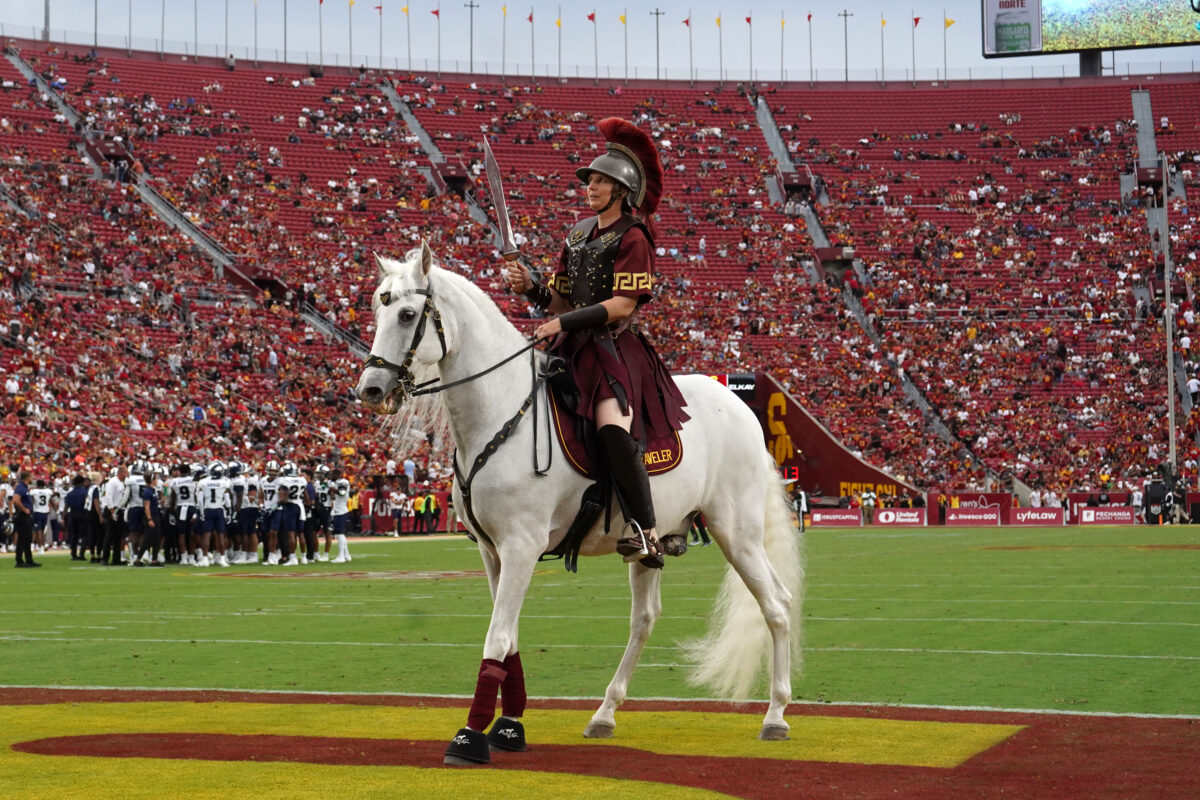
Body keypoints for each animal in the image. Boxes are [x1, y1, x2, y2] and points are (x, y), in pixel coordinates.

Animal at [355, 242, 806, 762]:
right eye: (378, 309)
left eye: (408, 314)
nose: (370, 389)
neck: (501, 413)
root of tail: (740, 406)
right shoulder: (491, 552)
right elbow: (509, 639)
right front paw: (509, 726)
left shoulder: (520, 546)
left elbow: (498, 637)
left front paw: (469, 736)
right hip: (654, 543)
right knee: (645, 620)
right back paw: (605, 712)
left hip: (738, 533)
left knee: (776, 605)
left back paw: (776, 715)